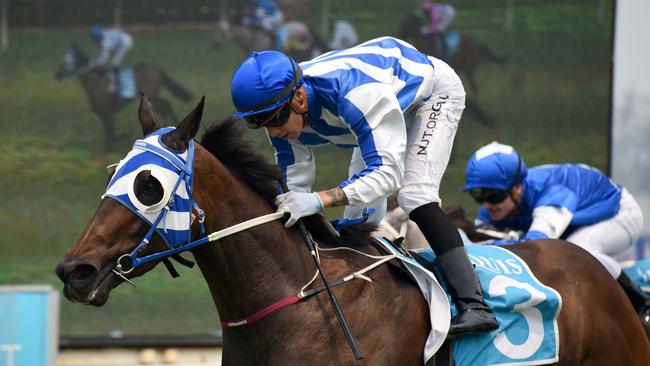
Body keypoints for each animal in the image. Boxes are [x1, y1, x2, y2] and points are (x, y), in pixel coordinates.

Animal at [55, 45, 191, 150]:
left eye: (67, 60)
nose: (57, 74)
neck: (96, 82)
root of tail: (155, 70)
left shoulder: (106, 113)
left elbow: (111, 132)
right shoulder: (106, 114)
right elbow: (110, 133)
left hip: (153, 97)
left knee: (166, 105)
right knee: (165, 105)